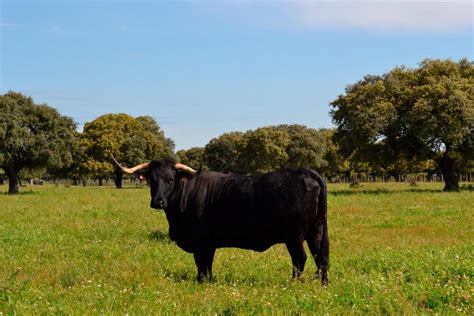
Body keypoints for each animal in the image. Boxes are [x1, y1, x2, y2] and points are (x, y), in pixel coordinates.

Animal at [118, 159, 328, 286]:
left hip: (294, 236)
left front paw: (202, 281)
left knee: (300, 259)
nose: (158, 202)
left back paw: (293, 284)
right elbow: (207, 264)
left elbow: (202, 263)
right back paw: (321, 284)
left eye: (170, 179)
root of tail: (304, 172)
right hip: (316, 231)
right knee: (321, 257)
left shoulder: (202, 242)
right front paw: (209, 280)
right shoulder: (209, 244)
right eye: (152, 180)